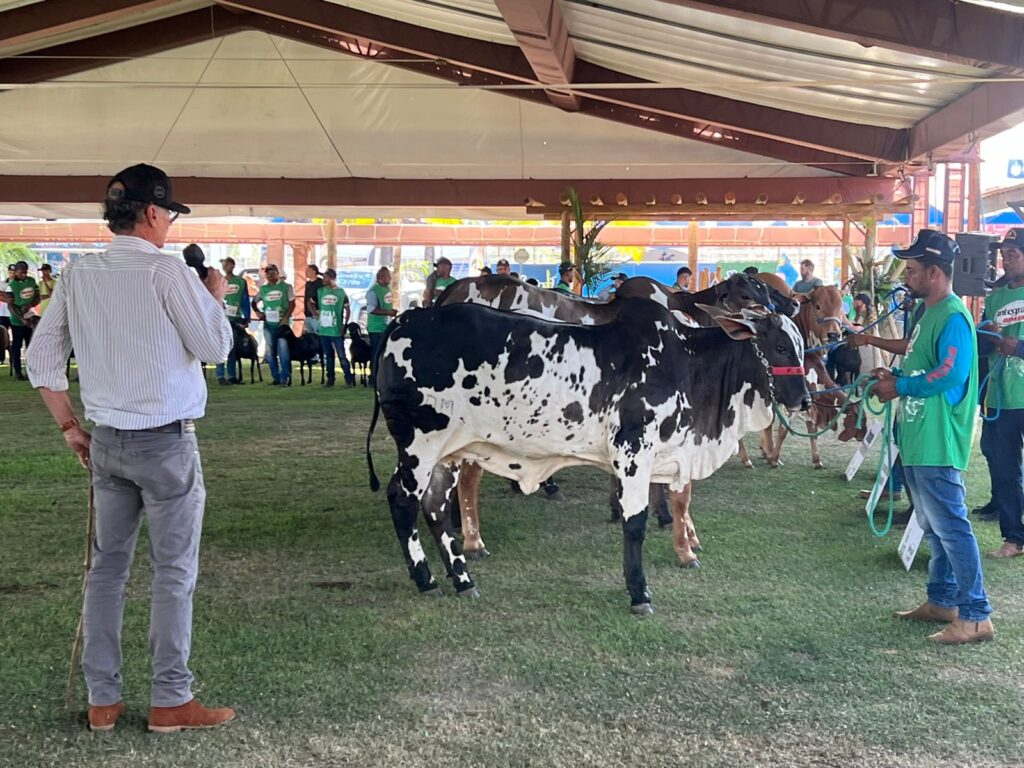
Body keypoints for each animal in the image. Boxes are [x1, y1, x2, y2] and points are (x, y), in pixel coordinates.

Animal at [366, 299, 806, 614]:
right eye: (781, 346)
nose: (803, 398)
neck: (687, 363)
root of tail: (404, 321)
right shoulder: (632, 452)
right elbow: (635, 523)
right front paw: (639, 593)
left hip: (448, 453)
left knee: (436, 508)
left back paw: (462, 580)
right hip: (419, 445)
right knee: (401, 500)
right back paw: (427, 580)